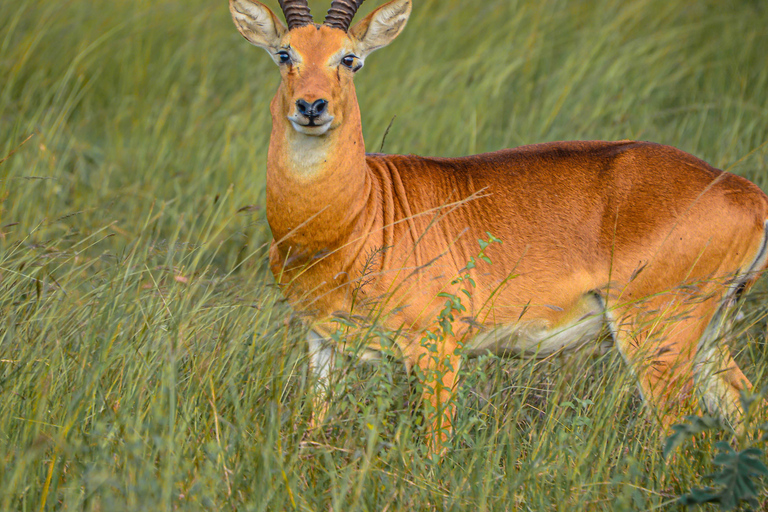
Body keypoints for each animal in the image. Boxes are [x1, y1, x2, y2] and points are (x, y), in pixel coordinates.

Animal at [231, 0, 768, 450]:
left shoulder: (437, 350)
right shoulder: (322, 343)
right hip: (708, 336)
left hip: (656, 338)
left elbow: (436, 449)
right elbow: (313, 427)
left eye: (349, 58)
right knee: (747, 410)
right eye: (284, 53)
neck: (360, 217)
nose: (311, 107)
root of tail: (748, 193)